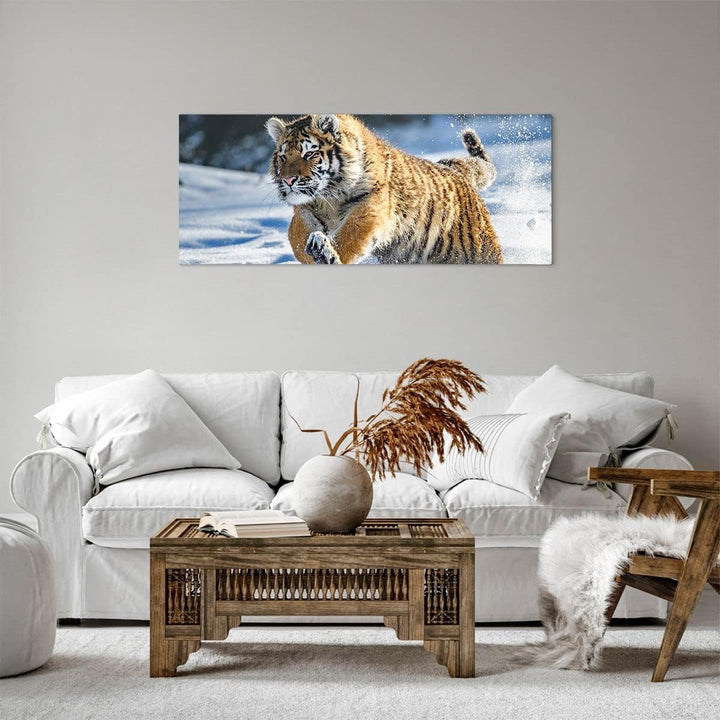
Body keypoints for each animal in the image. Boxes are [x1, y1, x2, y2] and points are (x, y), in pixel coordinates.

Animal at [265, 114, 503, 264]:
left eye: (309, 154)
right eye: (283, 157)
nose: (288, 180)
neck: (329, 197)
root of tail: (455, 170)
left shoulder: (370, 208)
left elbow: (348, 236)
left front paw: (327, 254)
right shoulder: (304, 212)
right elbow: (297, 240)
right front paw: (314, 253)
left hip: (482, 252)